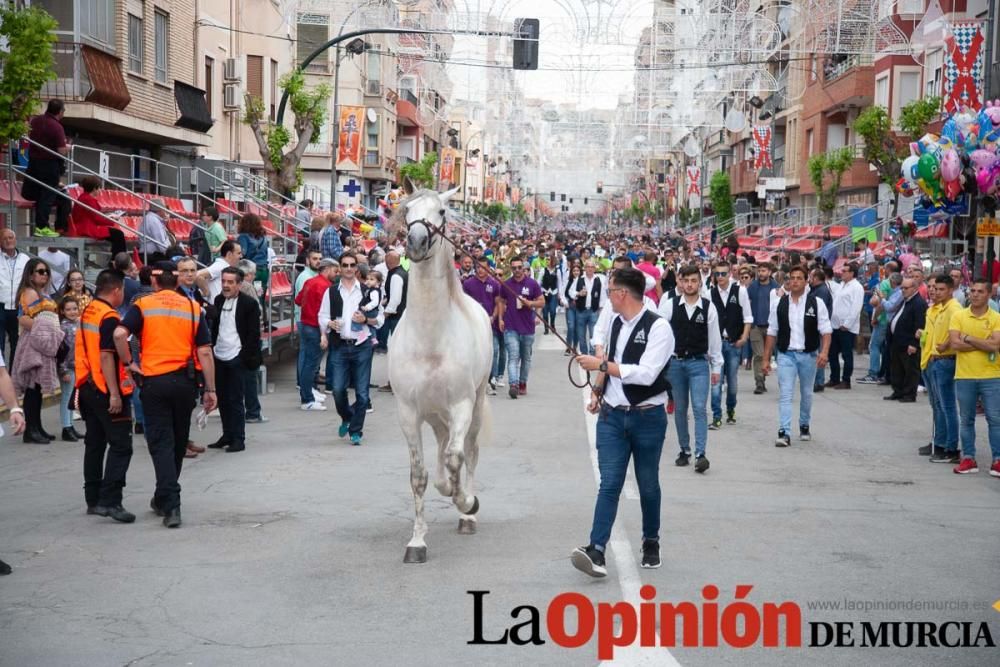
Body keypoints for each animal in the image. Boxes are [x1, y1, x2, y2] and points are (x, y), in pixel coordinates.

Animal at [386, 187, 492, 564]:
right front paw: (417, 542)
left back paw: (466, 514)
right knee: (444, 445)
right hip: (434, 415)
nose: (417, 242)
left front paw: (466, 502)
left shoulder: (462, 405)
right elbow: (419, 476)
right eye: (407, 210)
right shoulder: (408, 413)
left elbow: (457, 458)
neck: (430, 339)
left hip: (474, 406)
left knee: (469, 451)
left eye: (443, 212)